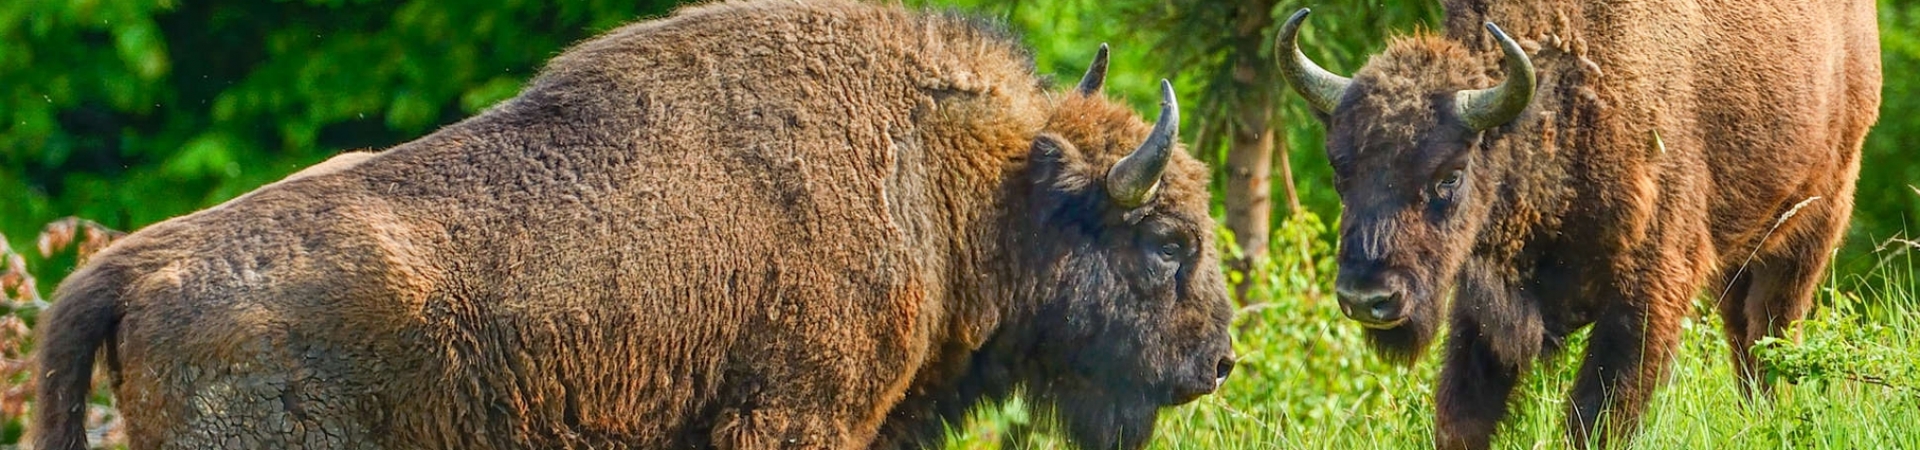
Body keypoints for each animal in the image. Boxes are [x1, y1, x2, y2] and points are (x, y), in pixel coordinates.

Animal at [1274, 0, 1873, 450]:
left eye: (1450, 175)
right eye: (1340, 168)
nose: (1366, 298)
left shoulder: (1646, 297)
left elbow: (1595, 418)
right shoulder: (1483, 305)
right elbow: (1462, 415)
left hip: (1814, 222)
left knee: (1771, 332)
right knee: (1742, 337)